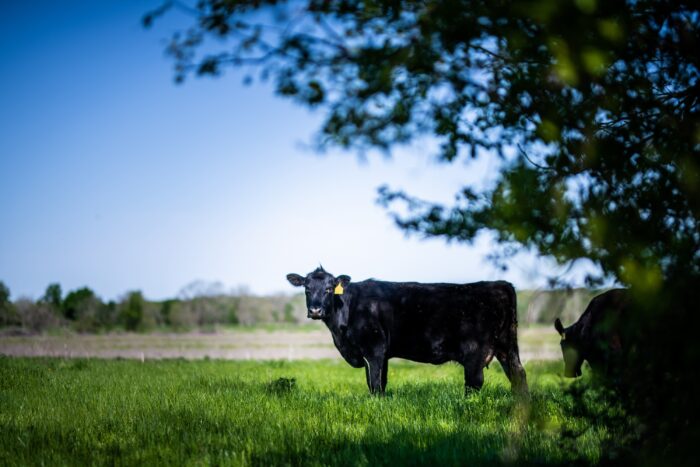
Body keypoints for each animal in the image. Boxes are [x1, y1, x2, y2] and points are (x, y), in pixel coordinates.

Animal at [284, 266, 524, 394]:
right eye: (306, 288)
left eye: (328, 289)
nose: (315, 310)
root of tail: (499, 285)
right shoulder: (381, 354)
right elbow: (380, 382)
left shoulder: (374, 349)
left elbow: (375, 383)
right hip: (507, 347)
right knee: (518, 375)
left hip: (475, 353)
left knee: (474, 384)